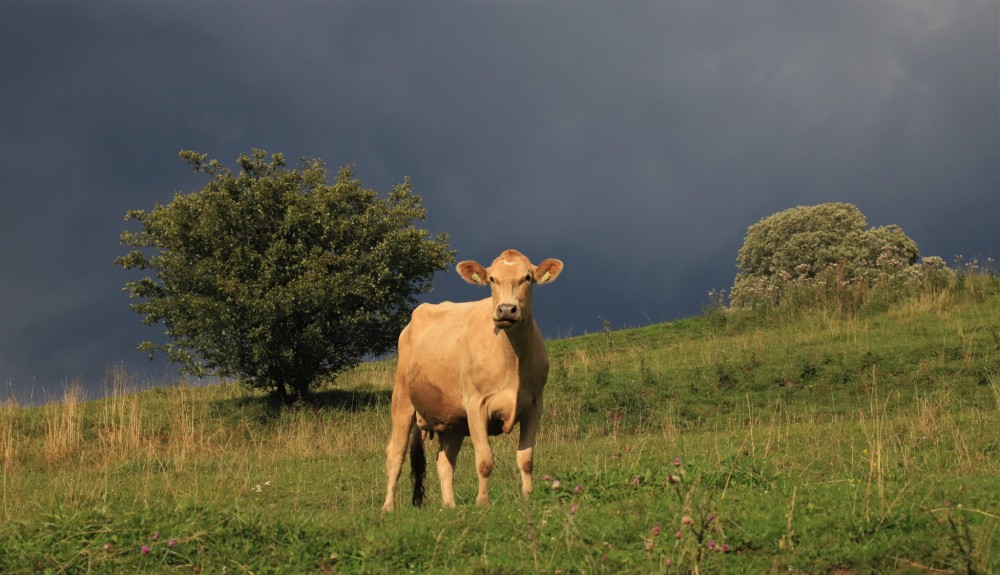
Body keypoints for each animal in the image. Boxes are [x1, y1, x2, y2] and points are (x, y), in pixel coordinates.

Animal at [380, 250, 564, 510]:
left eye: (527, 278)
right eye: (492, 279)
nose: (506, 310)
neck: (512, 360)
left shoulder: (534, 404)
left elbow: (526, 458)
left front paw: (529, 497)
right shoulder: (476, 405)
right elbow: (485, 460)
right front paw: (482, 502)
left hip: (452, 420)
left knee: (444, 461)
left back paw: (449, 505)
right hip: (402, 399)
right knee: (395, 454)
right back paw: (388, 507)